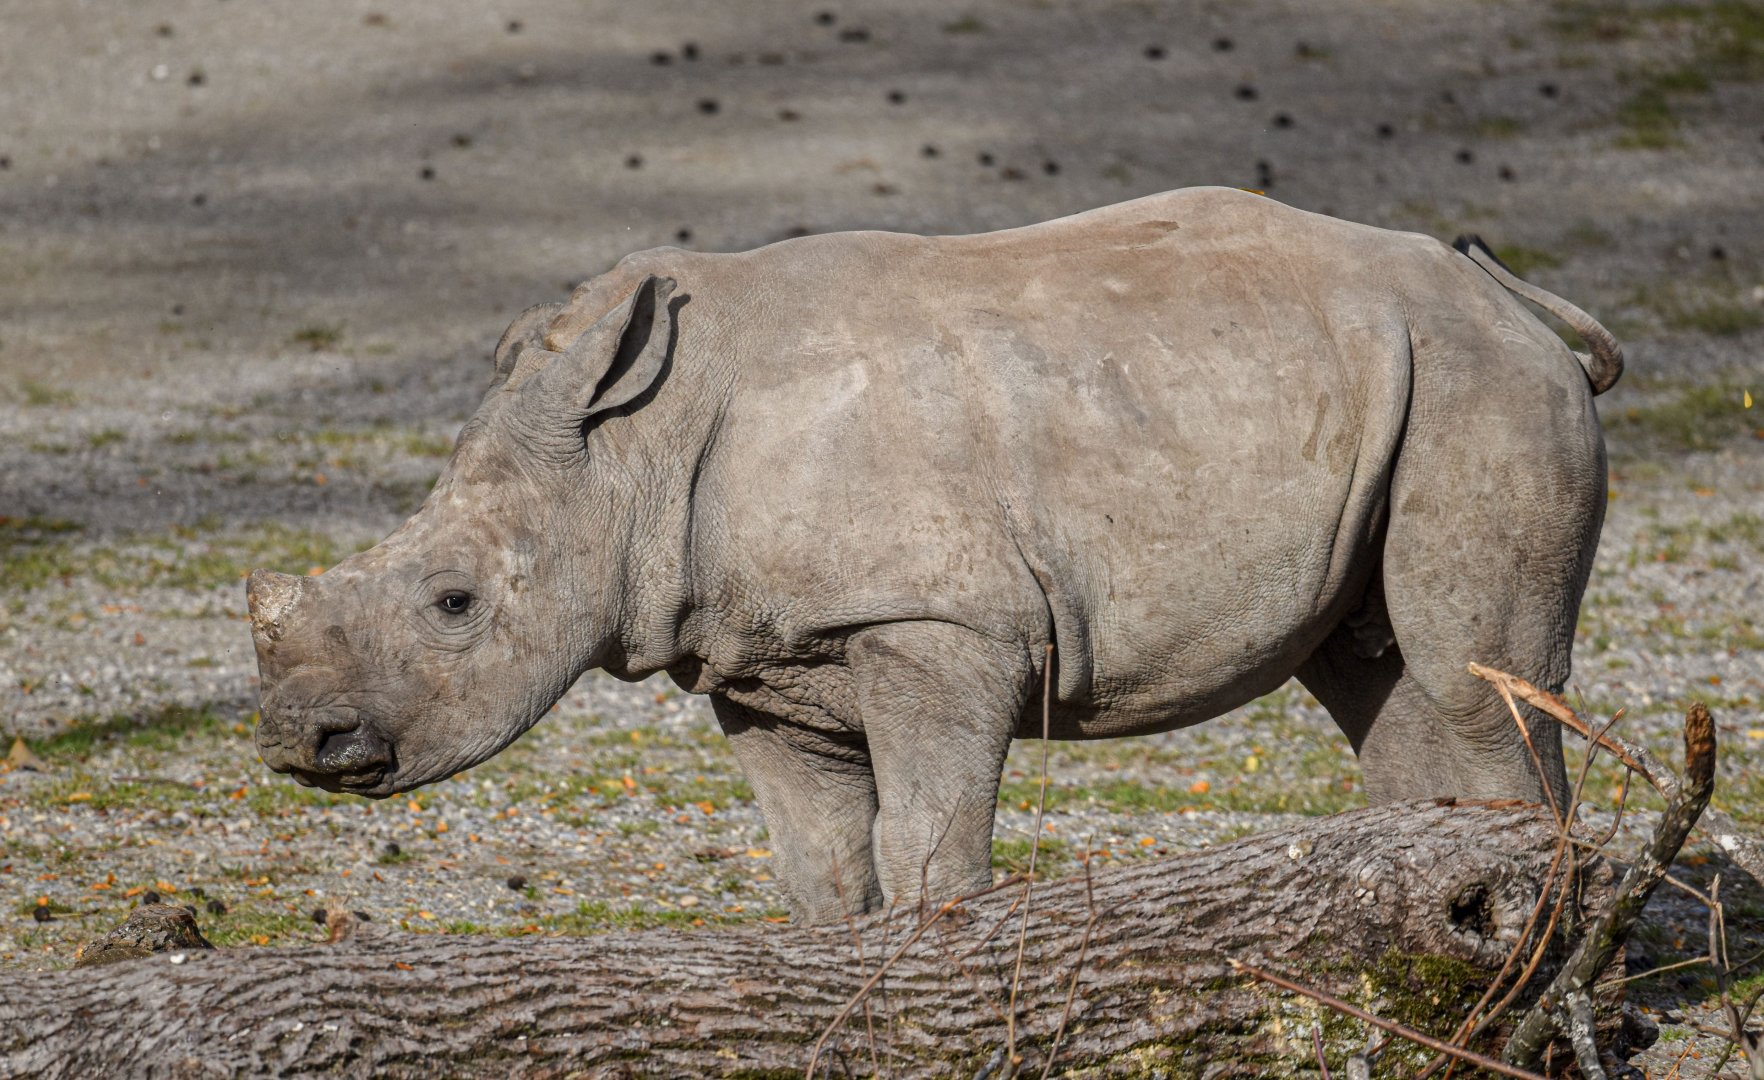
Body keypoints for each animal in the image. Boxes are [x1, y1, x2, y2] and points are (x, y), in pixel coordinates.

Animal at [247, 187, 1622, 921]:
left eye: (454, 603)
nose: (299, 741)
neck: (630, 451)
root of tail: (1514, 300)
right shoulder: (760, 654)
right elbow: (817, 860)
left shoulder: (935, 622)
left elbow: (927, 836)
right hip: (1401, 374)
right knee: (1379, 676)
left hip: (1480, 387)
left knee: (1471, 678)